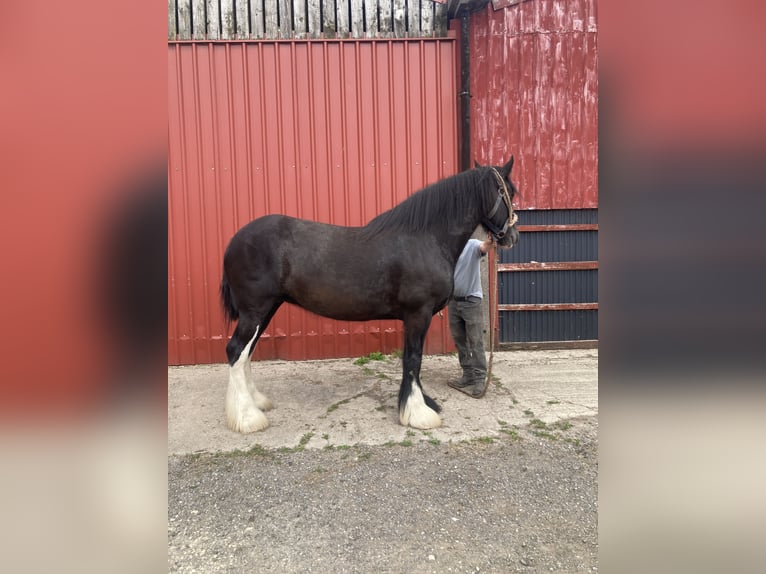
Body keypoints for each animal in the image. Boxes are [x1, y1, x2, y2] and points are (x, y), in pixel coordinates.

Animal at [220, 156, 520, 433]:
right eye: (509, 191)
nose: (512, 237)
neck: (425, 239)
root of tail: (234, 241)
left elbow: (413, 360)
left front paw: (421, 403)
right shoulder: (418, 314)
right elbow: (413, 358)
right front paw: (418, 413)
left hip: (267, 309)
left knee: (246, 353)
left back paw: (256, 403)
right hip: (255, 311)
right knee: (236, 350)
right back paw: (248, 418)